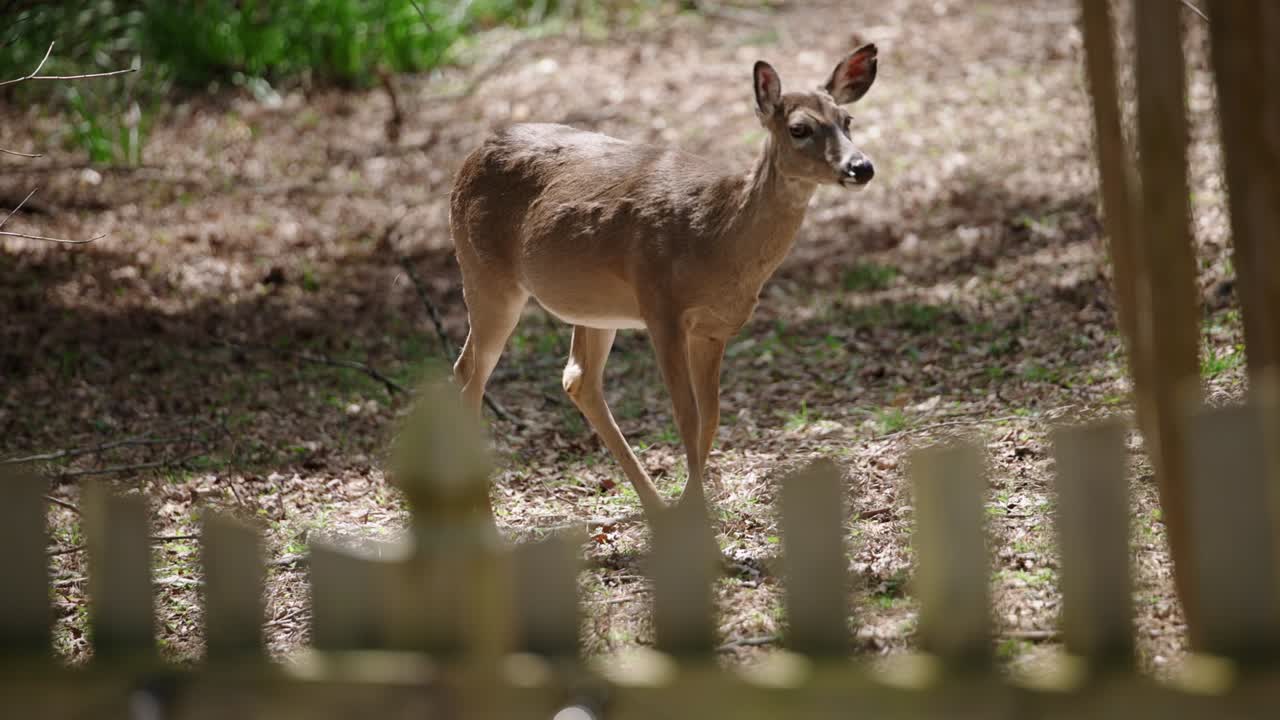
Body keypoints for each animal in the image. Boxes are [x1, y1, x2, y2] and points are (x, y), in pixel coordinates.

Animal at [448, 45, 878, 520]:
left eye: (847, 120)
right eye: (799, 128)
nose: (861, 167)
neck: (719, 236)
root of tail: (469, 158)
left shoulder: (714, 327)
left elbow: (711, 415)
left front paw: (690, 504)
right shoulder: (661, 305)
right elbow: (686, 415)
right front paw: (698, 514)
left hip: (593, 309)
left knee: (575, 378)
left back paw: (653, 505)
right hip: (486, 274)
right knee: (471, 374)